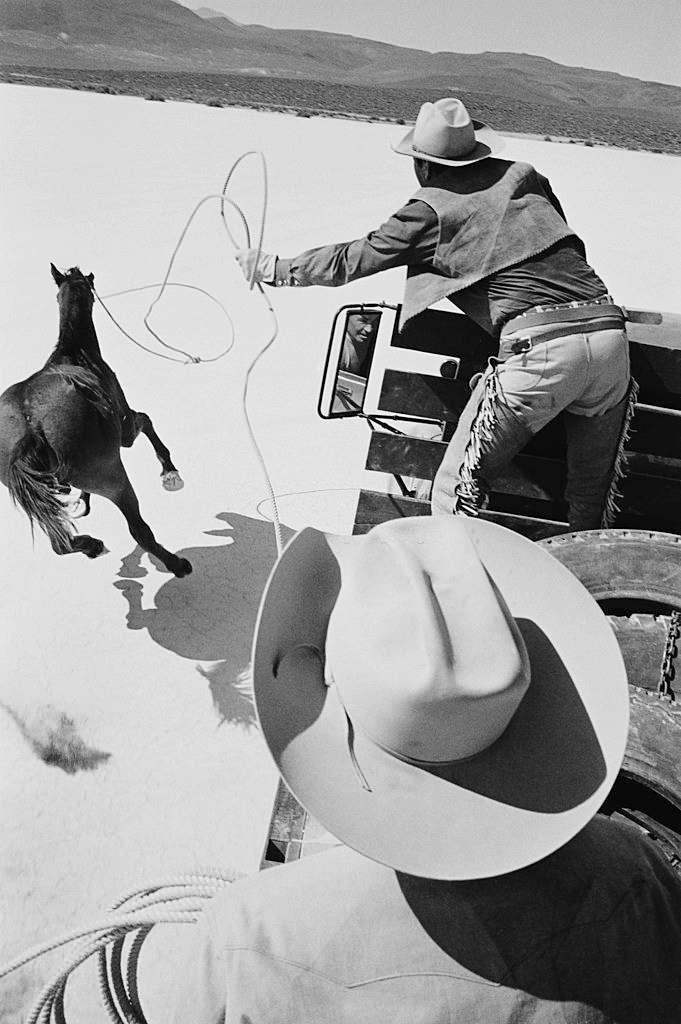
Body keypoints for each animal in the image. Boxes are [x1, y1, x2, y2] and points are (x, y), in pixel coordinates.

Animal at [0, 264, 191, 577]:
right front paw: (169, 471)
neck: (77, 352)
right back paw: (177, 564)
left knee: (60, 543)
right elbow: (145, 420)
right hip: (111, 477)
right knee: (139, 530)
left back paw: (92, 546)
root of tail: (32, 423)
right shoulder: (125, 430)